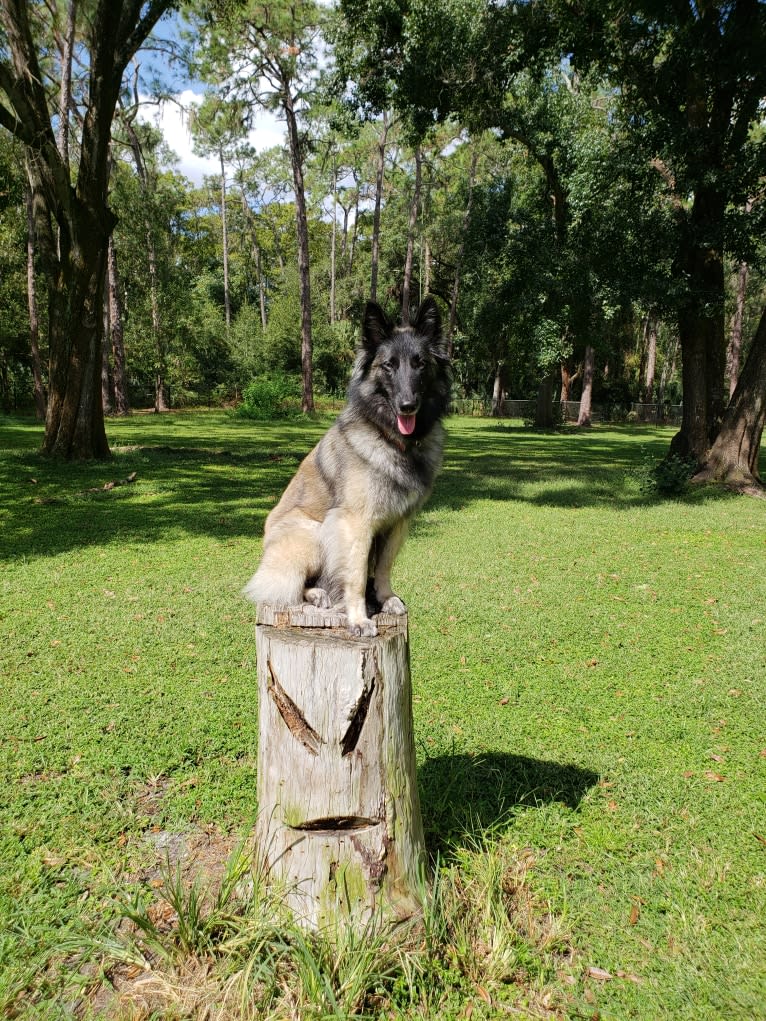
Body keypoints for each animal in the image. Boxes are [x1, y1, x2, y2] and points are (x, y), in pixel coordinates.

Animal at [244, 292, 449, 633]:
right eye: (388, 366)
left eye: (420, 363)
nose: (407, 405)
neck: (393, 440)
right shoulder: (355, 523)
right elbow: (355, 575)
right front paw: (358, 618)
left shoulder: (398, 523)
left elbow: (383, 566)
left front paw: (385, 598)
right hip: (313, 532)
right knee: (293, 585)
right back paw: (317, 594)